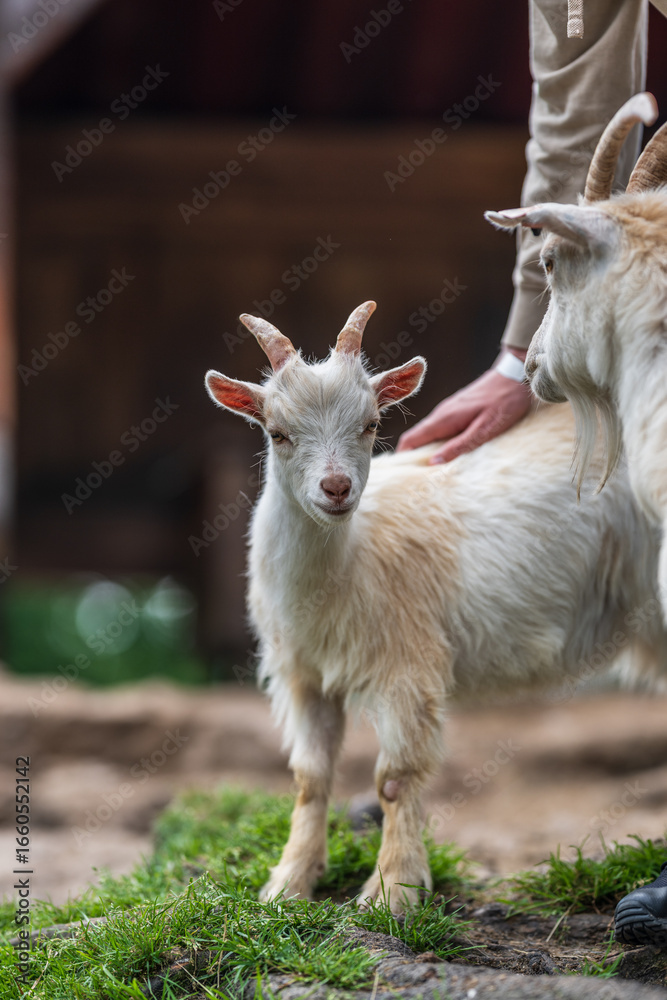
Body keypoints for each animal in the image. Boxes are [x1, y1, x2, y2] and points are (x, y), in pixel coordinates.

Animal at [205, 301, 666, 913]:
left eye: (371, 424)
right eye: (277, 433)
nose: (336, 488)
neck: (348, 564)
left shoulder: (406, 666)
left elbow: (394, 778)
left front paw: (392, 891)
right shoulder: (302, 676)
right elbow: (309, 777)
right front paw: (289, 883)